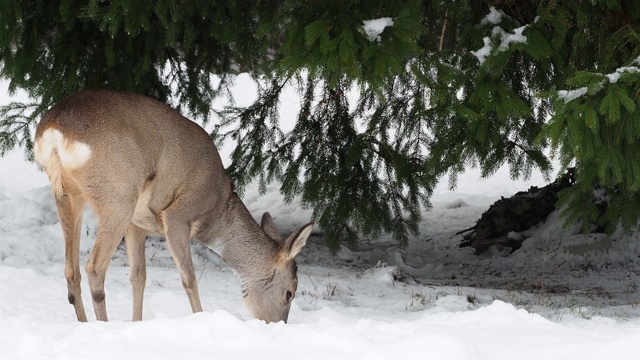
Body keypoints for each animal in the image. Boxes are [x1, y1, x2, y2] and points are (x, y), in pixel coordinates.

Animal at [33, 89, 314, 324]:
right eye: (289, 293)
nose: (276, 324)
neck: (218, 209)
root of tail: (54, 132)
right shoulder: (178, 215)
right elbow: (189, 278)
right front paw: (200, 319)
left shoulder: (137, 224)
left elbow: (138, 276)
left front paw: (137, 323)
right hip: (118, 195)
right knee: (93, 267)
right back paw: (103, 325)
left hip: (69, 195)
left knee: (71, 270)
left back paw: (84, 324)